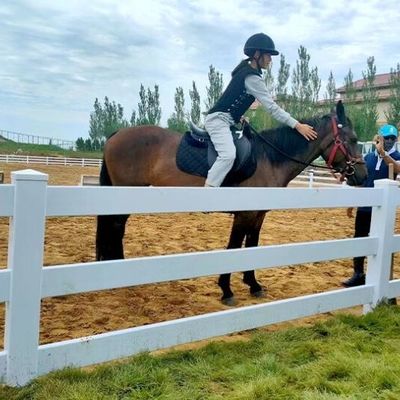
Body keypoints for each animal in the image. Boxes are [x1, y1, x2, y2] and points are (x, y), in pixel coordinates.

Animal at [96, 101, 366, 306]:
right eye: (353, 139)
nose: (362, 176)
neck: (268, 158)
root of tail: (117, 134)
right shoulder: (243, 214)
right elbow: (235, 247)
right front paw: (226, 290)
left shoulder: (258, 215)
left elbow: (251, 245)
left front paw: (253, 284)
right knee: (116, 228)